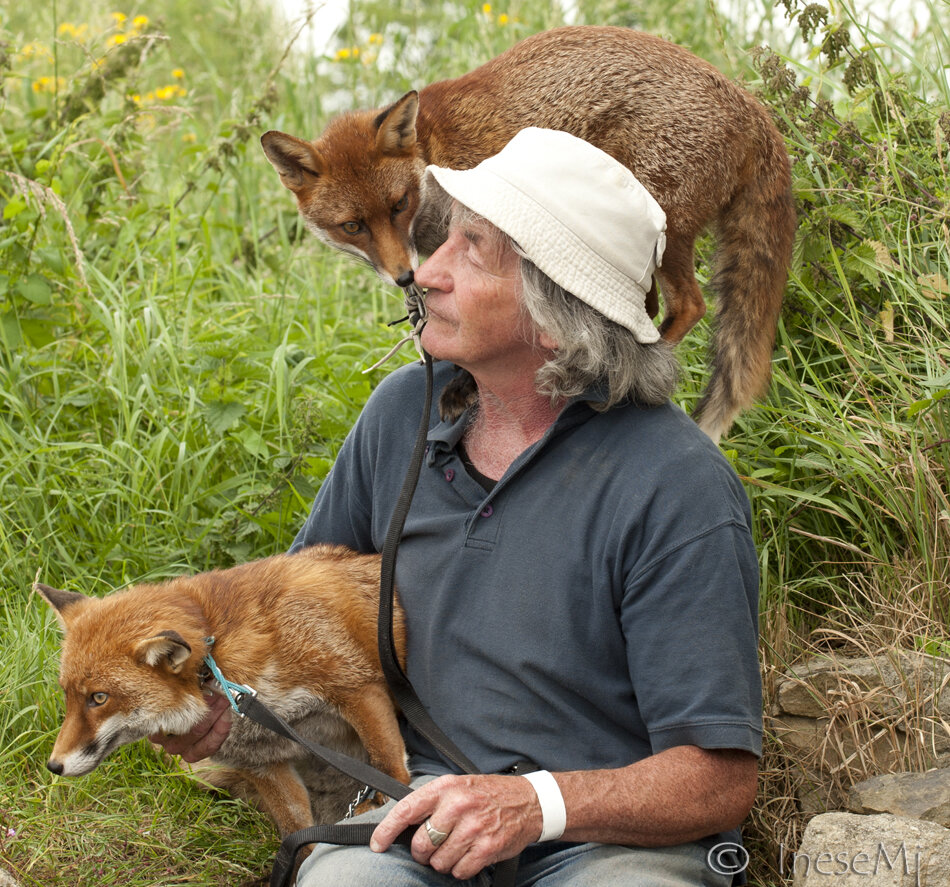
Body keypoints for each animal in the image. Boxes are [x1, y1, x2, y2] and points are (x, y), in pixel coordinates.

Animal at [258, 25, 796, 444]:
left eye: (398, 205)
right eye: (352, 226)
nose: (404, 278)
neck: (434, 153)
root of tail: (755, 107)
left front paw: (465, 387)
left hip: (660, 227)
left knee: (688, 306)